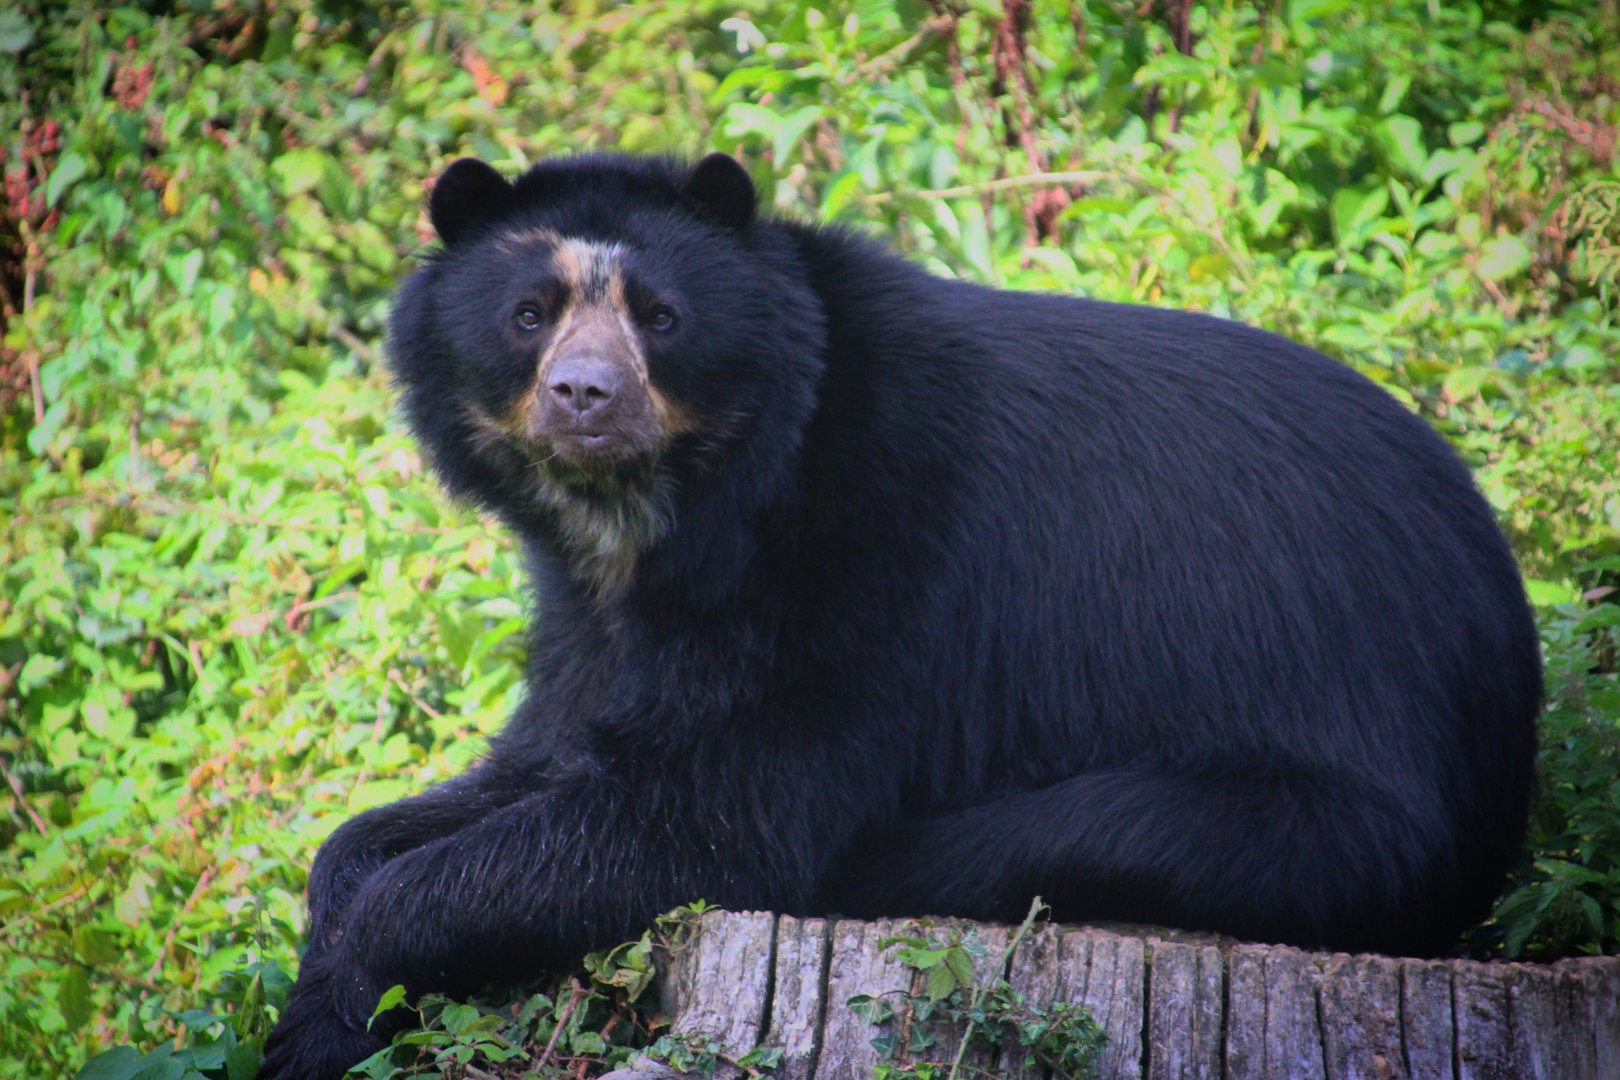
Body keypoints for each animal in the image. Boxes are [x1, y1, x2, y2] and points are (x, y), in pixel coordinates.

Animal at [259, 152, 1542, 1079]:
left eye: (661, 318)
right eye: (531, 312)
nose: (587, 396)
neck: (669, 514)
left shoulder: (871, 558)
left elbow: (725, 807)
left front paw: (340, 1003)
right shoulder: (600, 619)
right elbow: (528, 765)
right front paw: (333, 937)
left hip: (1327, 793)